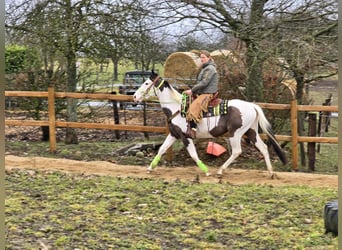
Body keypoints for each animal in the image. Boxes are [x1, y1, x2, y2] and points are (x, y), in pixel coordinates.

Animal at [132, 70, 288, 178]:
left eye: (146, 83)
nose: (134, 96)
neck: (176, 108)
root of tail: (252, 106)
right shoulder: (173, 134)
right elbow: (162, 149)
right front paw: (150, 168)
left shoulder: (185, 136)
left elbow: (193, 155)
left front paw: (206, 171)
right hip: (251, 131)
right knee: (263, 148)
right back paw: (271, 173)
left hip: (236, 133)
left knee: (237, 151)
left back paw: (220, 171)